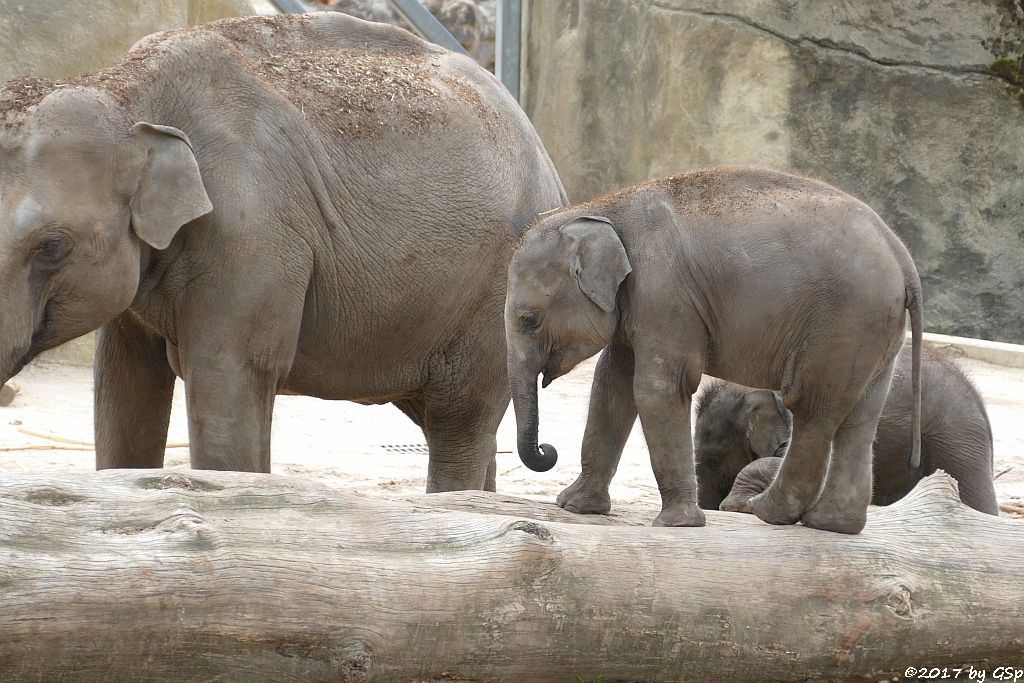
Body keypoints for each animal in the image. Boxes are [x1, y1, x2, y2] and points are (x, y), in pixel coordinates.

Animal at [0, 12, 565, 491]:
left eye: (51, 246)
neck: (123, 90)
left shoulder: (254, 233)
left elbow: (229, 375)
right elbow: (124, 386)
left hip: (494, 296)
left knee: (460, 420)